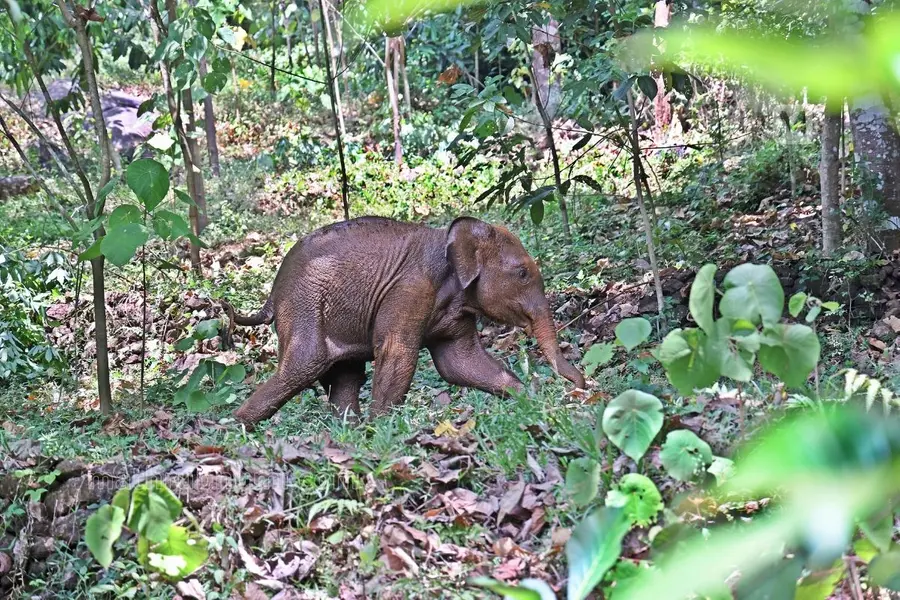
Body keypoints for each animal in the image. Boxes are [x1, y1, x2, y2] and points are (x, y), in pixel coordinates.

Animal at [222, 216, 586, 424]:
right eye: (522, 273)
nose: (581, 387)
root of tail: (272, 293)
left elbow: (459, 363)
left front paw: (528, 399)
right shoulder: (409, 289)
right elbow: (399, 353)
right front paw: (383, 431)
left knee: (346, 375)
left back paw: (347, 434)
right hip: (304, 305)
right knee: (304, 365)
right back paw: (237, 430)